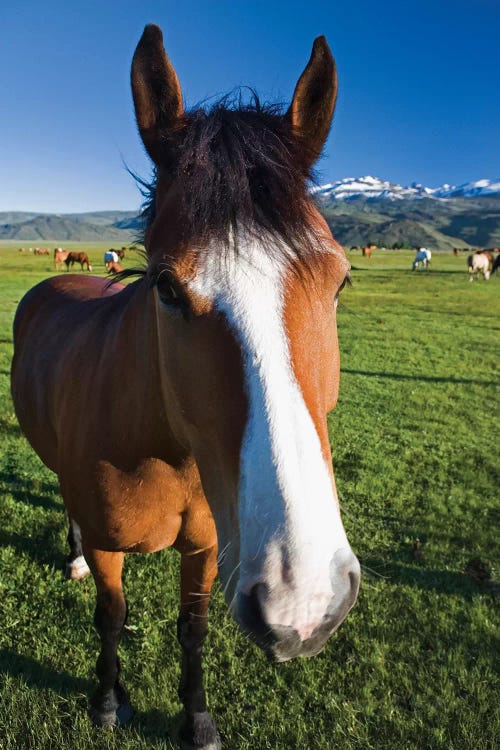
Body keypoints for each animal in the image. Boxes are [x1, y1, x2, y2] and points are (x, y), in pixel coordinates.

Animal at [10, 25, 360, 750]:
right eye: (167, 287)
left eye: (340, 280)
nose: (304, 596)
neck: (161, 450)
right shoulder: (112, 545)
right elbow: (111, 617)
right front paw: (107, 701)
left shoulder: (204, 548)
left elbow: (192, 630)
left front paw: (197, 719)